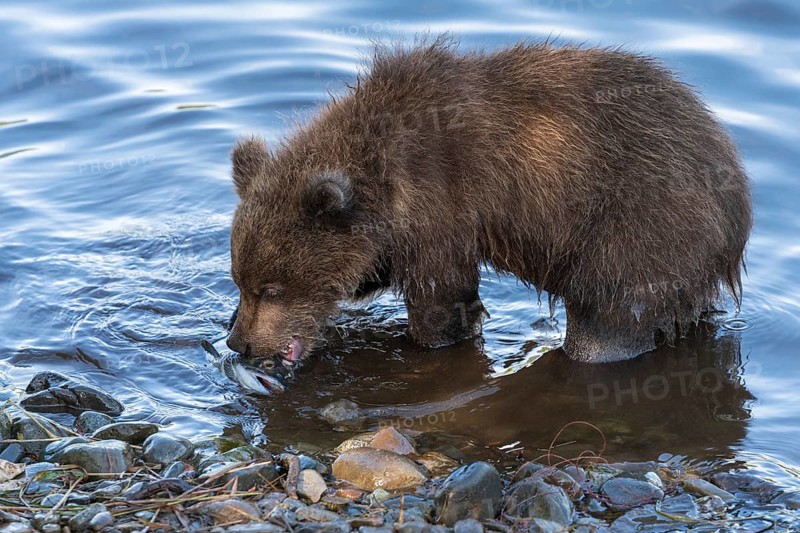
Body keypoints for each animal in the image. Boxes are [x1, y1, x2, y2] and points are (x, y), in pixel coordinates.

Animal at [226, 36, 752, 371]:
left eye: (271, 288)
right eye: (241, 281)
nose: (239, 343)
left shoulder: (440, 201)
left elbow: (443, 295)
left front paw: (431, 338)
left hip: (638, 229)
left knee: (609, 322)